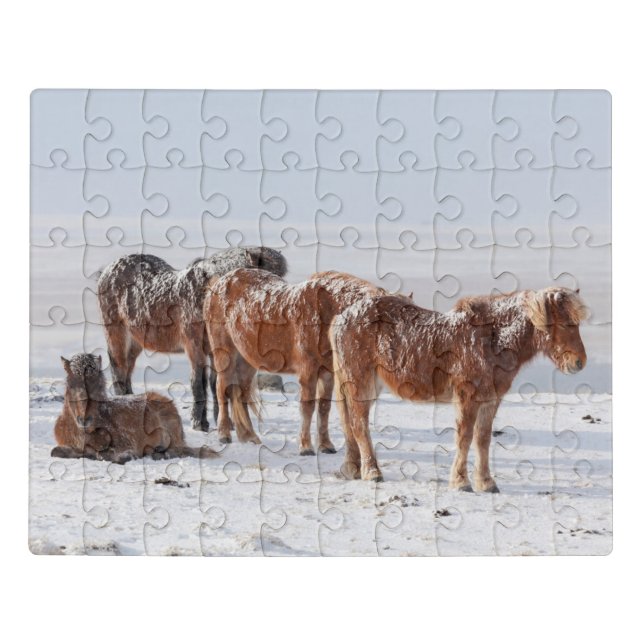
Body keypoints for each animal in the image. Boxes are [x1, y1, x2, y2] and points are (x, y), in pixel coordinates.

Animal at [97, 247, 287, 431]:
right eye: (267, 279)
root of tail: (107, 270)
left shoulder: (217, 351)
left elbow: (215, 384)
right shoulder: (194, 346)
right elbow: (198, 383)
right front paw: (199, 423)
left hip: (136, 341)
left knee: (127, 369)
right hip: (117, 333)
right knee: (118, 368)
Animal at [204, 269, 409, 453]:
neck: (326, 310)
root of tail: (218, 283)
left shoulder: (327, 373)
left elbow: (324, 408)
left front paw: (325, 445)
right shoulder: (308, 371)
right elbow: (307, 407)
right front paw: (305, 446)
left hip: (247, 361)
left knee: (241, 394)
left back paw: (250, 436)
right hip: (225, 355)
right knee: (222, 389)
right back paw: (224, 434)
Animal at [330, 287, 588, 489]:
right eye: (565, 323)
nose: (579, 362)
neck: (492, 341)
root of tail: (340, 318)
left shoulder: (490, 400)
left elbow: (482, 439)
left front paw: (486, 482)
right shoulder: (467, 397)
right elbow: (464, 437)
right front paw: (461, 481)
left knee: (349, 424)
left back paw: (353, 469)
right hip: (360, 383)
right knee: (358, 425)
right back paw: (372, 472)